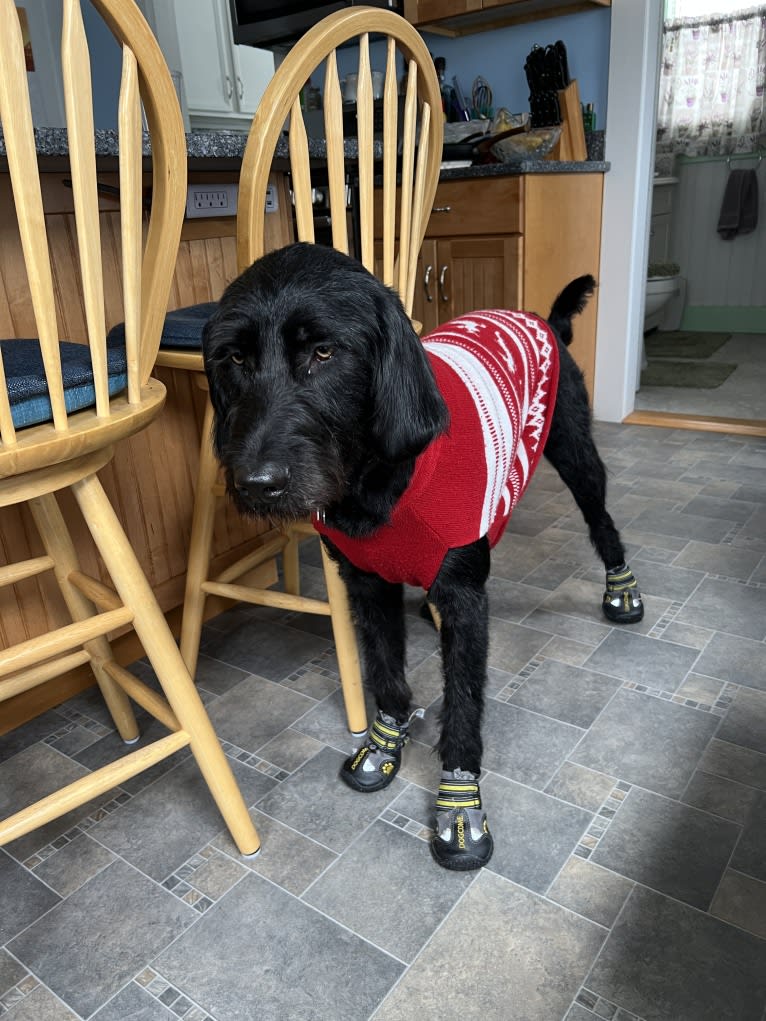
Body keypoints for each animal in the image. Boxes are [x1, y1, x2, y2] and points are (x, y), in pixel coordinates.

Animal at [202, 240, 641, 869]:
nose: (257, 484)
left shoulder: (464, 598)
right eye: (234, 359)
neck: (376, 487)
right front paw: (384, 745)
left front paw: (459, 805)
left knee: (603, 522)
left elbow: (463, 701)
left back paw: (622, 590)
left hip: (576, 451)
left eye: (324, 352)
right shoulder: (366, 584)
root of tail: (545, 321)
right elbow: (386, 672)